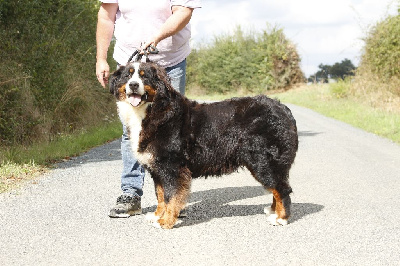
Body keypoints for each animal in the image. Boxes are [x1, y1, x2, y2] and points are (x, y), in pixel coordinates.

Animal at [108, 61, 296, 229]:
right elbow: (161, 195)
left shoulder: (171, 167)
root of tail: (282, 107)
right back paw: (273, 211)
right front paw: (156, 216)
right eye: (127, 76)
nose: (133, 85)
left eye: (144, 76)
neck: (152, 110)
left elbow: (171, 196)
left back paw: (281, 218)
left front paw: (166, 221)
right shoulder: (157, 169)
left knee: (282, 189)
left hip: (264, 162)